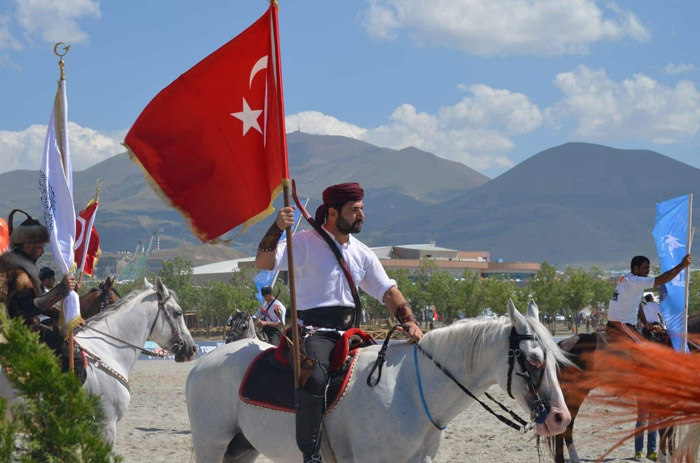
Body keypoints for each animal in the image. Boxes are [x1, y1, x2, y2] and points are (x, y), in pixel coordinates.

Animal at [187, 300, 576, 463]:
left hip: (241, 449)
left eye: (556, 359)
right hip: (211, 446)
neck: (411, 391)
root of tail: (200, 363)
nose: (561, 417)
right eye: (533, 360)